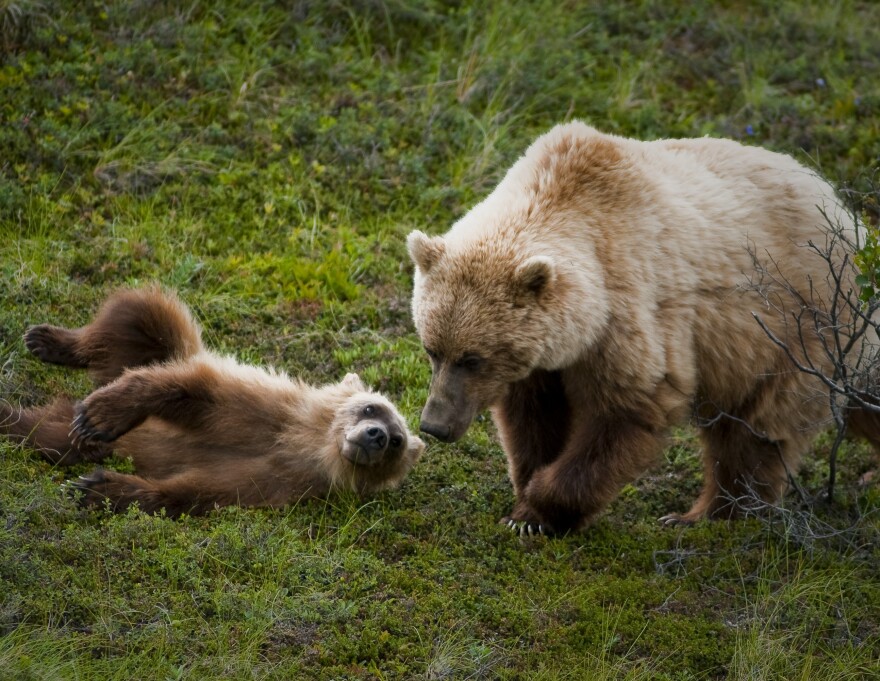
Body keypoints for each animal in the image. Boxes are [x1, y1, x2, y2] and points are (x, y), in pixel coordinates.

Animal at [0, 286, 426, 516]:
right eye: (372, 407)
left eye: (397, 441)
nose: (376, 435)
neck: (305, 443)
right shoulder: (260, 409)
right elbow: (191, 391)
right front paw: (99, 416)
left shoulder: (279, 481)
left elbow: (196, 490)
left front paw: (97, 488)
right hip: (161, 346)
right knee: (139, 313)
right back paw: (48, 341)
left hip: (72, 438)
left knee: (46, 434)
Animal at [410, 122, 876, 536]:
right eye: (432, 349)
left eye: (473, 359)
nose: (434, 425)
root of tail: (848, 216)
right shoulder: (544, 357)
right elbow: (534, 417)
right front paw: (525, 501)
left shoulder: (628, 313)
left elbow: (628, 410)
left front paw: (540, 511)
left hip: (797, 331)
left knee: (754, 431)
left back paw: (707, 515)